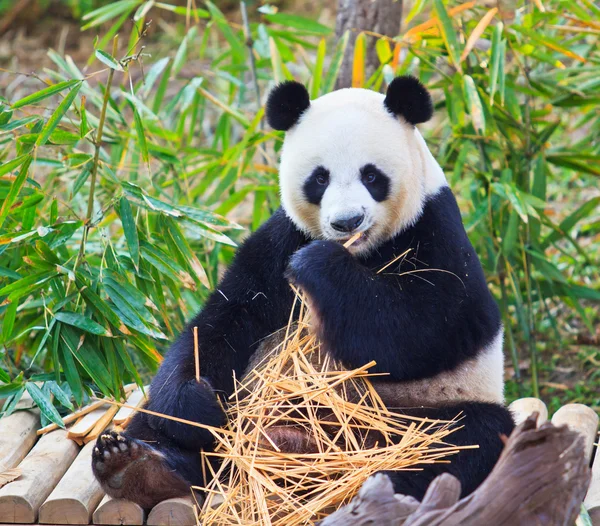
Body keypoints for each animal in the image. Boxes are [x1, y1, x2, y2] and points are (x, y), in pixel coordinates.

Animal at [92, 76, 516, 510]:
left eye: (372, 176)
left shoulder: (435, 229)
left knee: (464, 439)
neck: (362, 252)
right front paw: (197, 406)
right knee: (156, 424)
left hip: (420, 412)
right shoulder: (281, 239)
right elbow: (223, 320)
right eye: (319, 179)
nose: (347, 222)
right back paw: (139, 467)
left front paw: (319, 264)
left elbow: (430, 327)